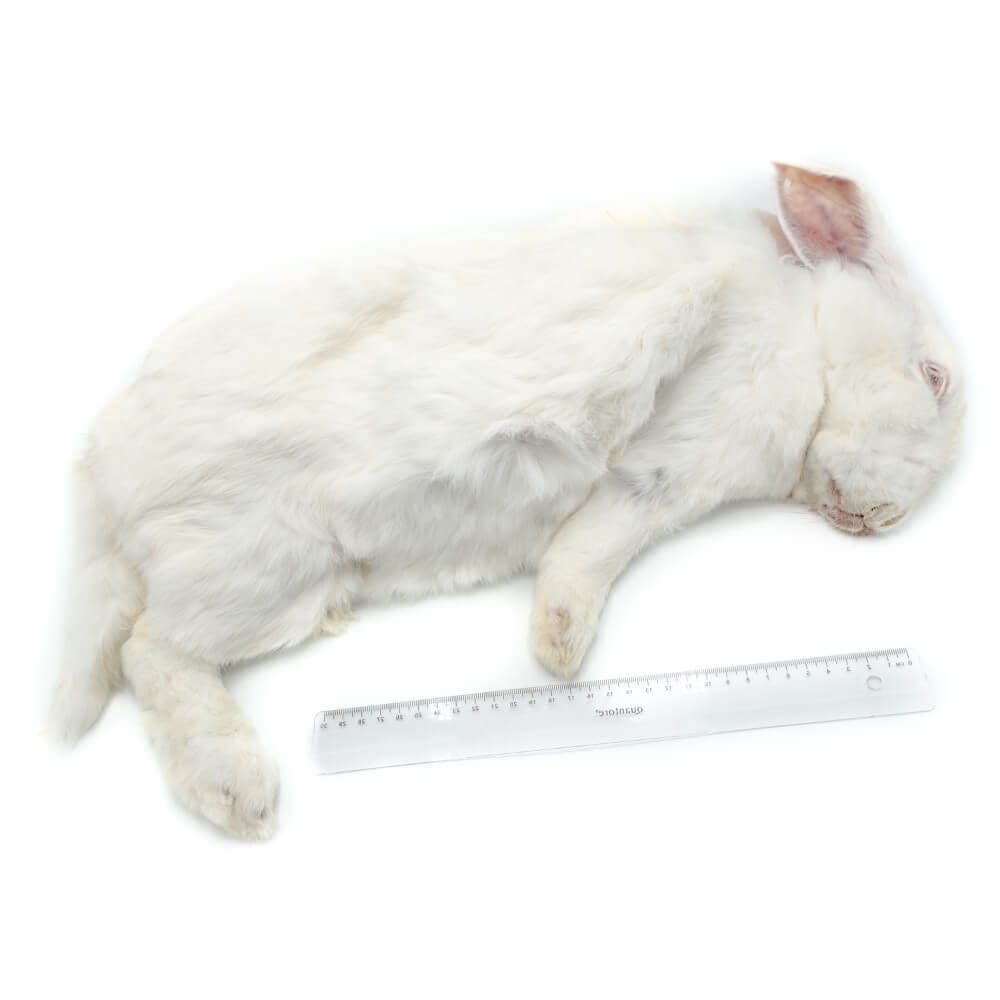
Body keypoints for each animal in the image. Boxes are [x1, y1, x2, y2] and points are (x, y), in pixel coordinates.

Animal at [50, 163, 964, 838]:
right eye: (935, 377)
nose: (881, 520)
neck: (805, 343)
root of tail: (103, 479)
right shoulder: (670, 465)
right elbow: (593, 544)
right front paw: (560, 651)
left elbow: (585, 546)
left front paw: (555, 645)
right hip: (259, 566)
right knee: (150, 650)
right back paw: (239, 792)